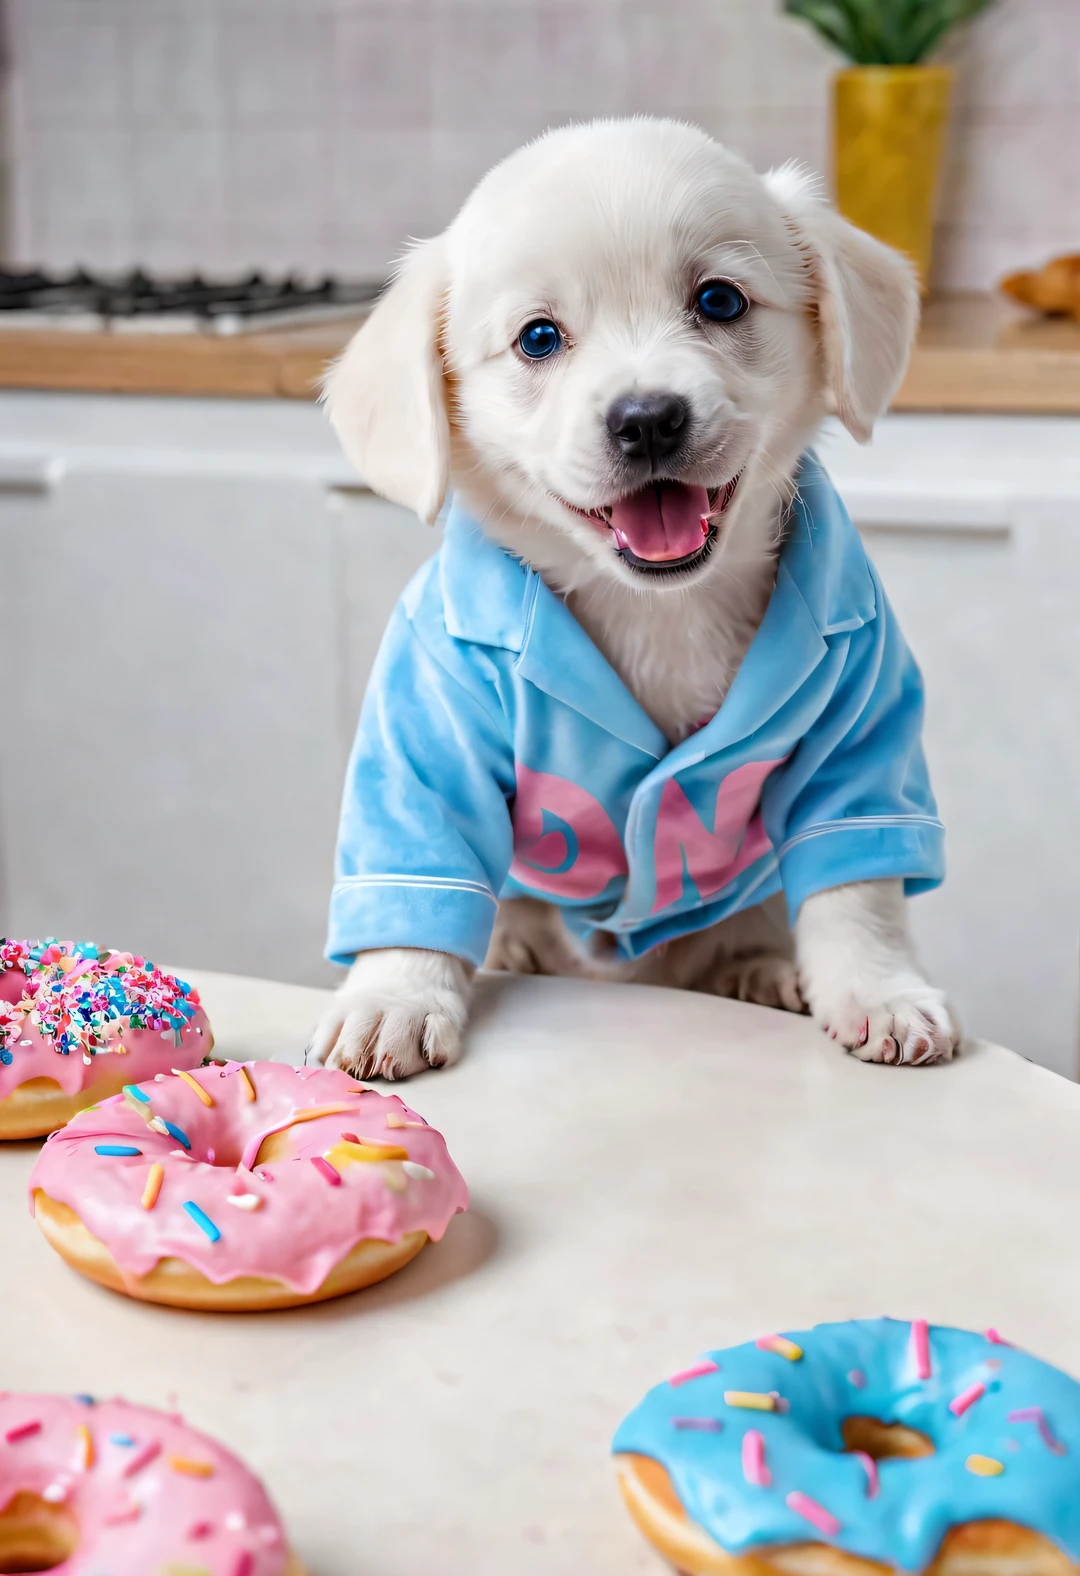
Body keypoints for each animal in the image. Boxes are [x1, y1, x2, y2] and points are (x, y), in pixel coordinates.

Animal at [307, 119, 958, 1084]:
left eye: (719, 301)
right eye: (539, 338)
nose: (647, 418)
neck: (659, 609)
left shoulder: (861, 720)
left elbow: (856, 888)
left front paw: (876, 989)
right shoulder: (424, 721)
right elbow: (416, 873)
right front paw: (394, 997)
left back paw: (757, 966)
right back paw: (516, 947)